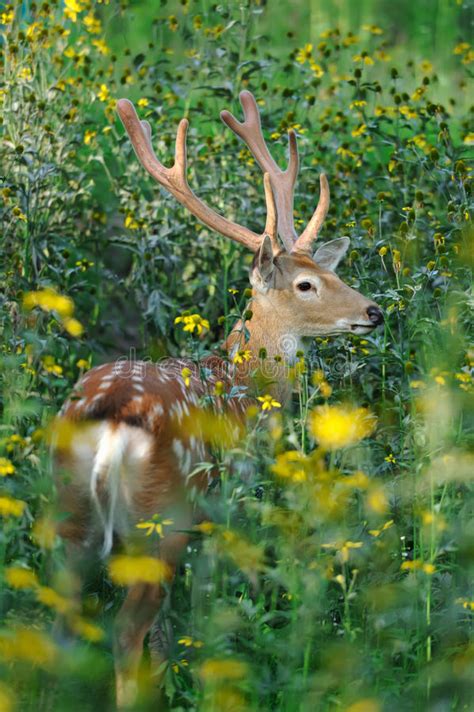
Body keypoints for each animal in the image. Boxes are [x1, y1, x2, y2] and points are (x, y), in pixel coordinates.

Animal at [53, 89, 384, 708]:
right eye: (306, 285)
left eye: (325, 271)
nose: (374, 312)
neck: (241, 384)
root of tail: (111, 420)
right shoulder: (218, 507)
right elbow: (196, 616)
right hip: (161, 516)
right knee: (127, 627)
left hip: (71, 514)